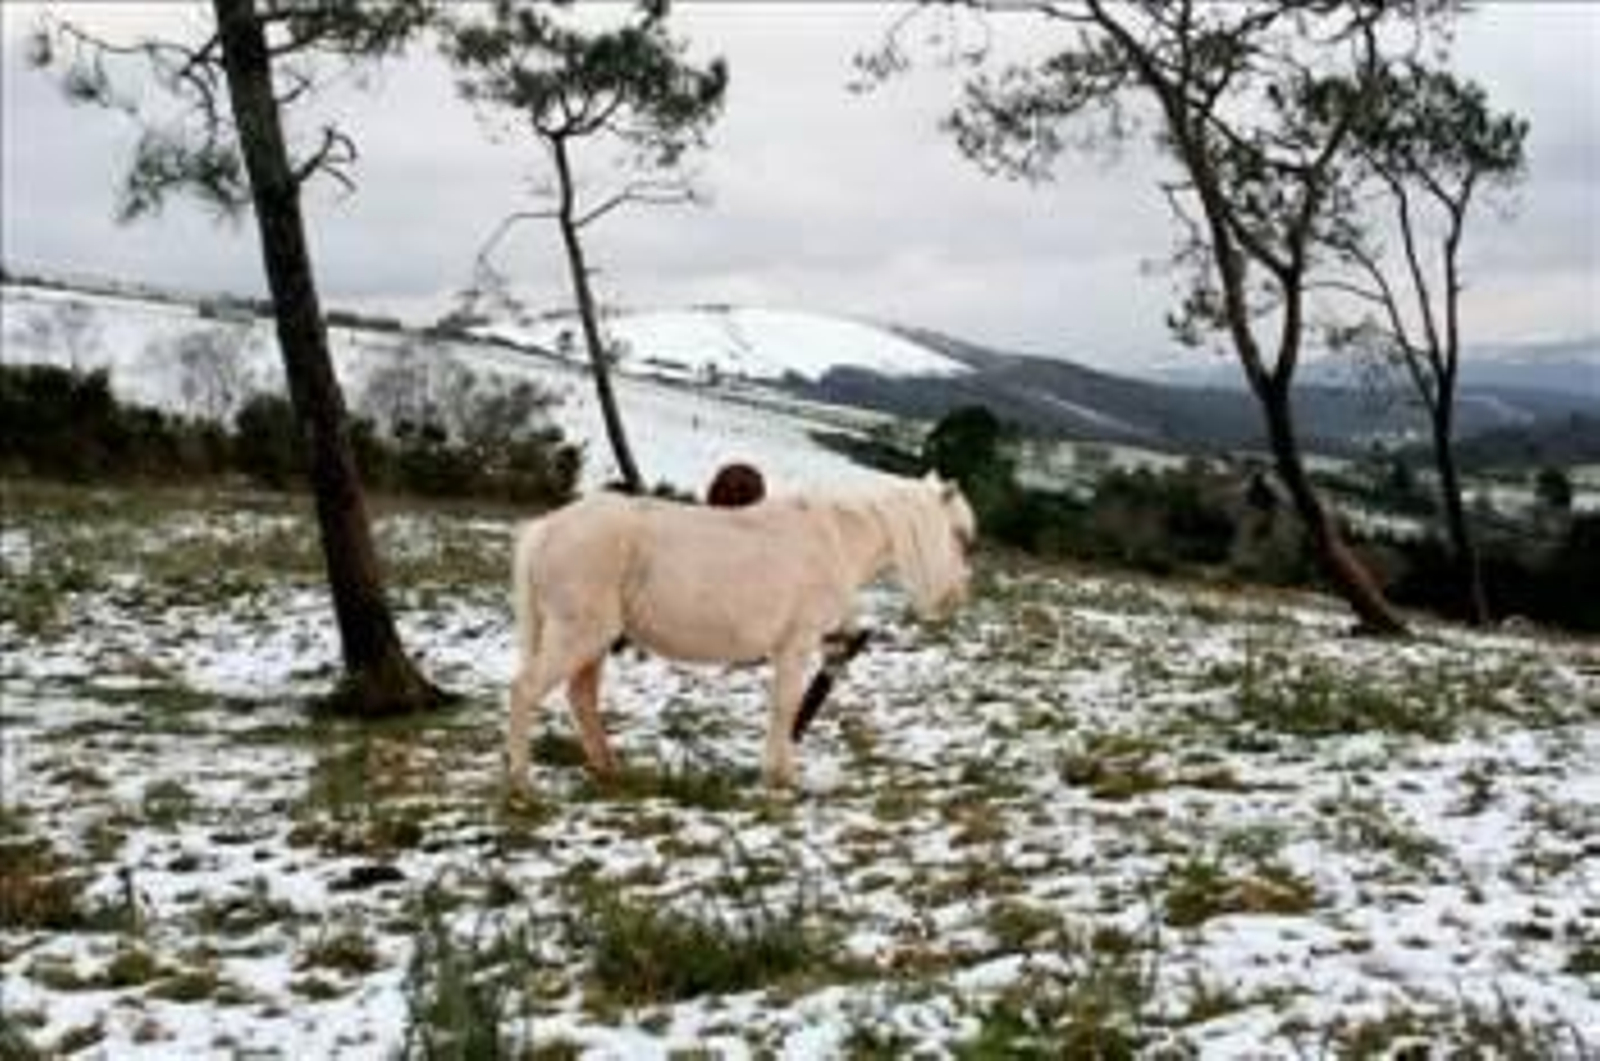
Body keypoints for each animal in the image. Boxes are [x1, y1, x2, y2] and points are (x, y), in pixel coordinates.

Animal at [507, 473, 976, 790]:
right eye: (958, 535)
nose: (958, 595)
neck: (837, 539)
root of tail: (547, 528)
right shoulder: (796, 645)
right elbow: (785, 708)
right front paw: (782, 777)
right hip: (580, 635)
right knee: (526, 690)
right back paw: (522, 781)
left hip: (594, 642)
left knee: (581, 698)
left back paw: (609, 770)